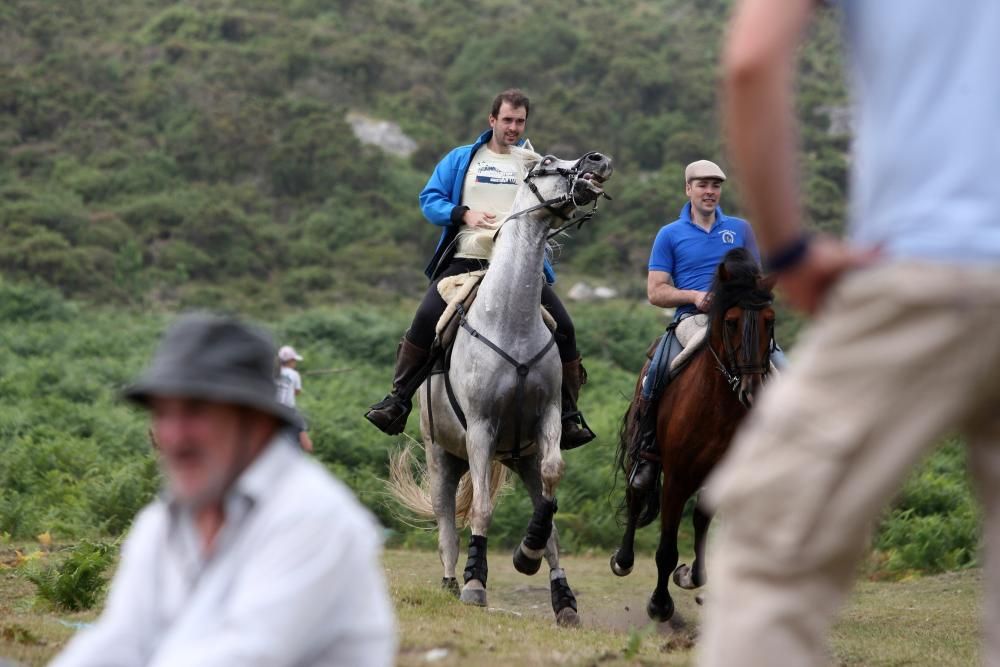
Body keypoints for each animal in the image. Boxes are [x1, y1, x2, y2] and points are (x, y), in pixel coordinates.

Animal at [388, 150, 608, 628]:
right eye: (547, 162)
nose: (597, 161)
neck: (510, 318)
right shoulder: (481, 428)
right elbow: (482, 510)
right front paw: (475, 582)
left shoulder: (547, 420)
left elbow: (553, 487)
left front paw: (528, 554)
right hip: (442, 456)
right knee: (446, 523)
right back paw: (452, 583)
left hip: (519, 457)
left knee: (548, 519)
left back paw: (563, 599)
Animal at [608, 248, 772, 624]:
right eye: (731, 321)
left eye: (770, 320)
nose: (751, 393)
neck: (718, 405)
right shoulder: (678, 476)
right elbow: (667, 548)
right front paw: (659, 604)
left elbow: (702, 523)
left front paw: (690, 577)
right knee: (638, 489)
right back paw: (622, 560)